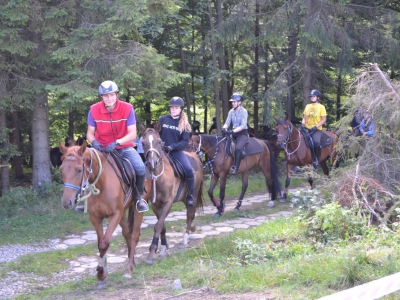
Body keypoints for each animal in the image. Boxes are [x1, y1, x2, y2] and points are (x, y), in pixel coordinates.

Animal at [58, 141, 148, 288]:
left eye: (79, 170)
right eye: (62, 169)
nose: (67, 202)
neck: (102, 183)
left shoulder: (115, 214)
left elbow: (105, 243)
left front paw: (101, 273)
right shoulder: (95, 217)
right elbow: (100, 243)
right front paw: (102, 273)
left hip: (136, 209)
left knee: (134, 236)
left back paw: (128, 269)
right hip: (123, 213)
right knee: (127, 235)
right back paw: (132, 263)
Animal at [141, 126, 205, 264]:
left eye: (160, 142)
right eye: (143, 143)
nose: (152, 163)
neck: (159, 177)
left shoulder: (168, 203)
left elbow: (158, 225)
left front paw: (152, 253)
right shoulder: (156, 205)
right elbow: (162, 226)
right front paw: (163, 247)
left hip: (193, 195)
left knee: (190, 215)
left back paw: (185, 239)